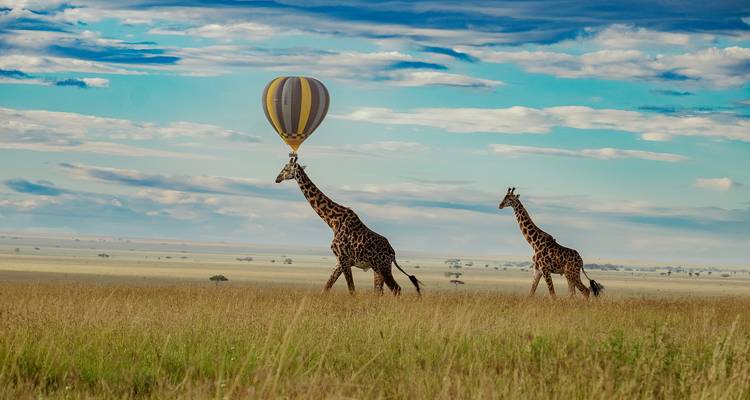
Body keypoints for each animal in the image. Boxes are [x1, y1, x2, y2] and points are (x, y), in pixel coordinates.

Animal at [275, 155, 421, 295]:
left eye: (286, 169)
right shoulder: (340, 261)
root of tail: (392, 253)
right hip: (377, 268)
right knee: (379, 291)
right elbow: (326, 288)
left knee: (396, 289)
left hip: (383, 266)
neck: (332, 221)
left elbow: (351, 290)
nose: (277, 178)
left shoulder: (344, 259)